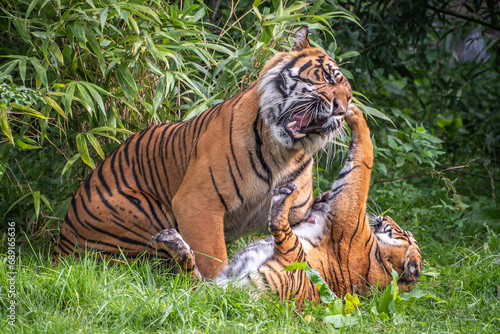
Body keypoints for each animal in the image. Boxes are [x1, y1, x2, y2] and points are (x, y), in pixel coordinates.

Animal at [53, 26, 352, 278]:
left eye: (350, 98)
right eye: (327, 77)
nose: (341, 108)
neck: (283, 153)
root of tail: (59, 248)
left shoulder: (296, 213)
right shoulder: (198, 201)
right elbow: (212, 255)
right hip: (142, 208)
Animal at [211, 105, 422, 302]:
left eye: (403, 232)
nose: (387, 216)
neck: (382, 259)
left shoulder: (350, 207)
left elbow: (363, 163)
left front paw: (356, 114)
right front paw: (322, 199)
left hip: (293, 258)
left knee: (280, 228)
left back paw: (285, 195)